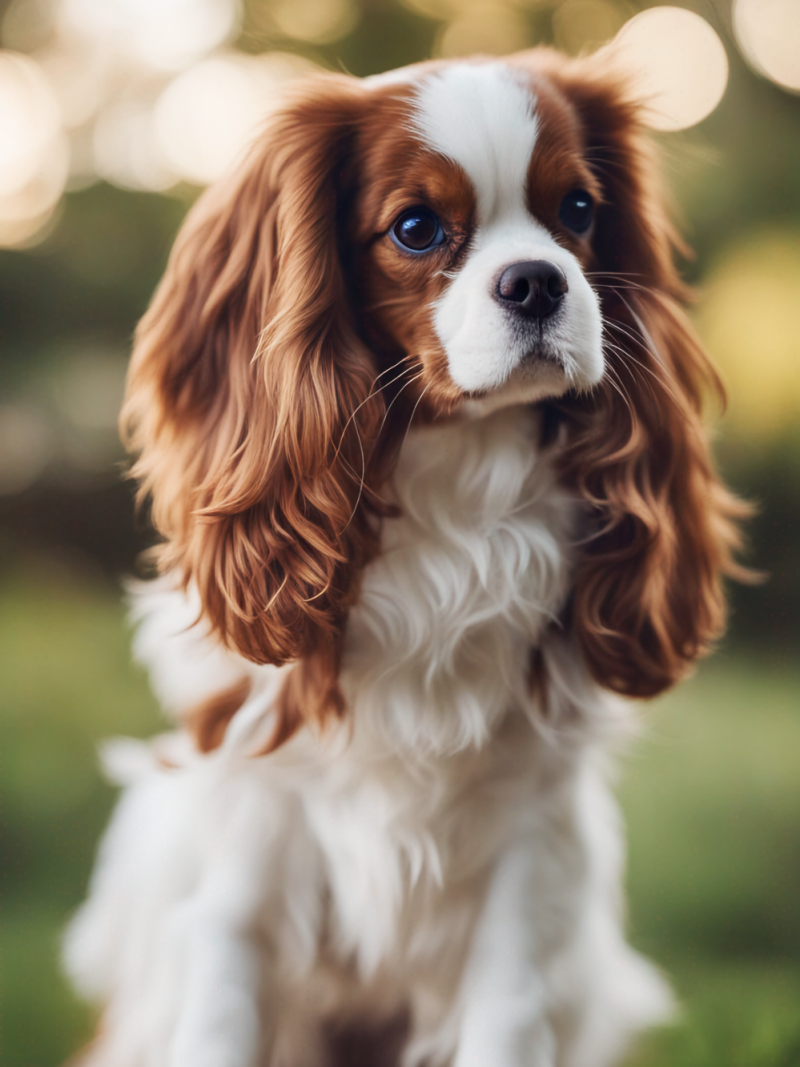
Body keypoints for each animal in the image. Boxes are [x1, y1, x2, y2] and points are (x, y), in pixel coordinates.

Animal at [65, 50, 750, 1067]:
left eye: (579, 210)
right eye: (417, 229)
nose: (538, 280)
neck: (454, 496)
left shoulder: (528, 858)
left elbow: (508, 1016)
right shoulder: (245, 850)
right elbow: (223, 1013)